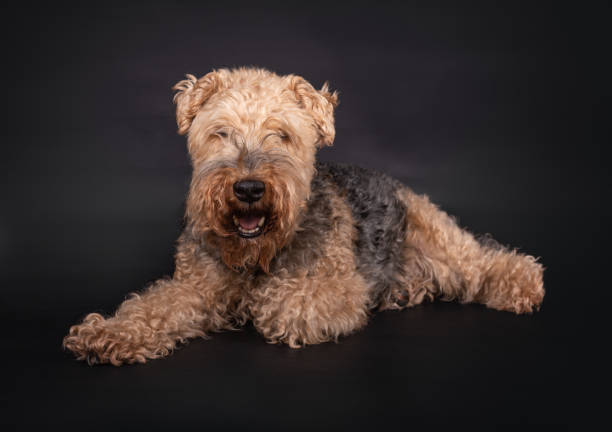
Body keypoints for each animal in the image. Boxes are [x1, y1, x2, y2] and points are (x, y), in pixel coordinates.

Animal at [62, 67, 544, 364]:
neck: (256, 256)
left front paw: (253, 303)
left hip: (438, 238)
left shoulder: (338, 290)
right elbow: (152, 306)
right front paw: (109, 333)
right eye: (220, 132)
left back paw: (525, 285)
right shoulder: (192, 287)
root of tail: (390, 180)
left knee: (488, 262)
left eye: (282, 134)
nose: (249, 189)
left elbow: (284, 303)